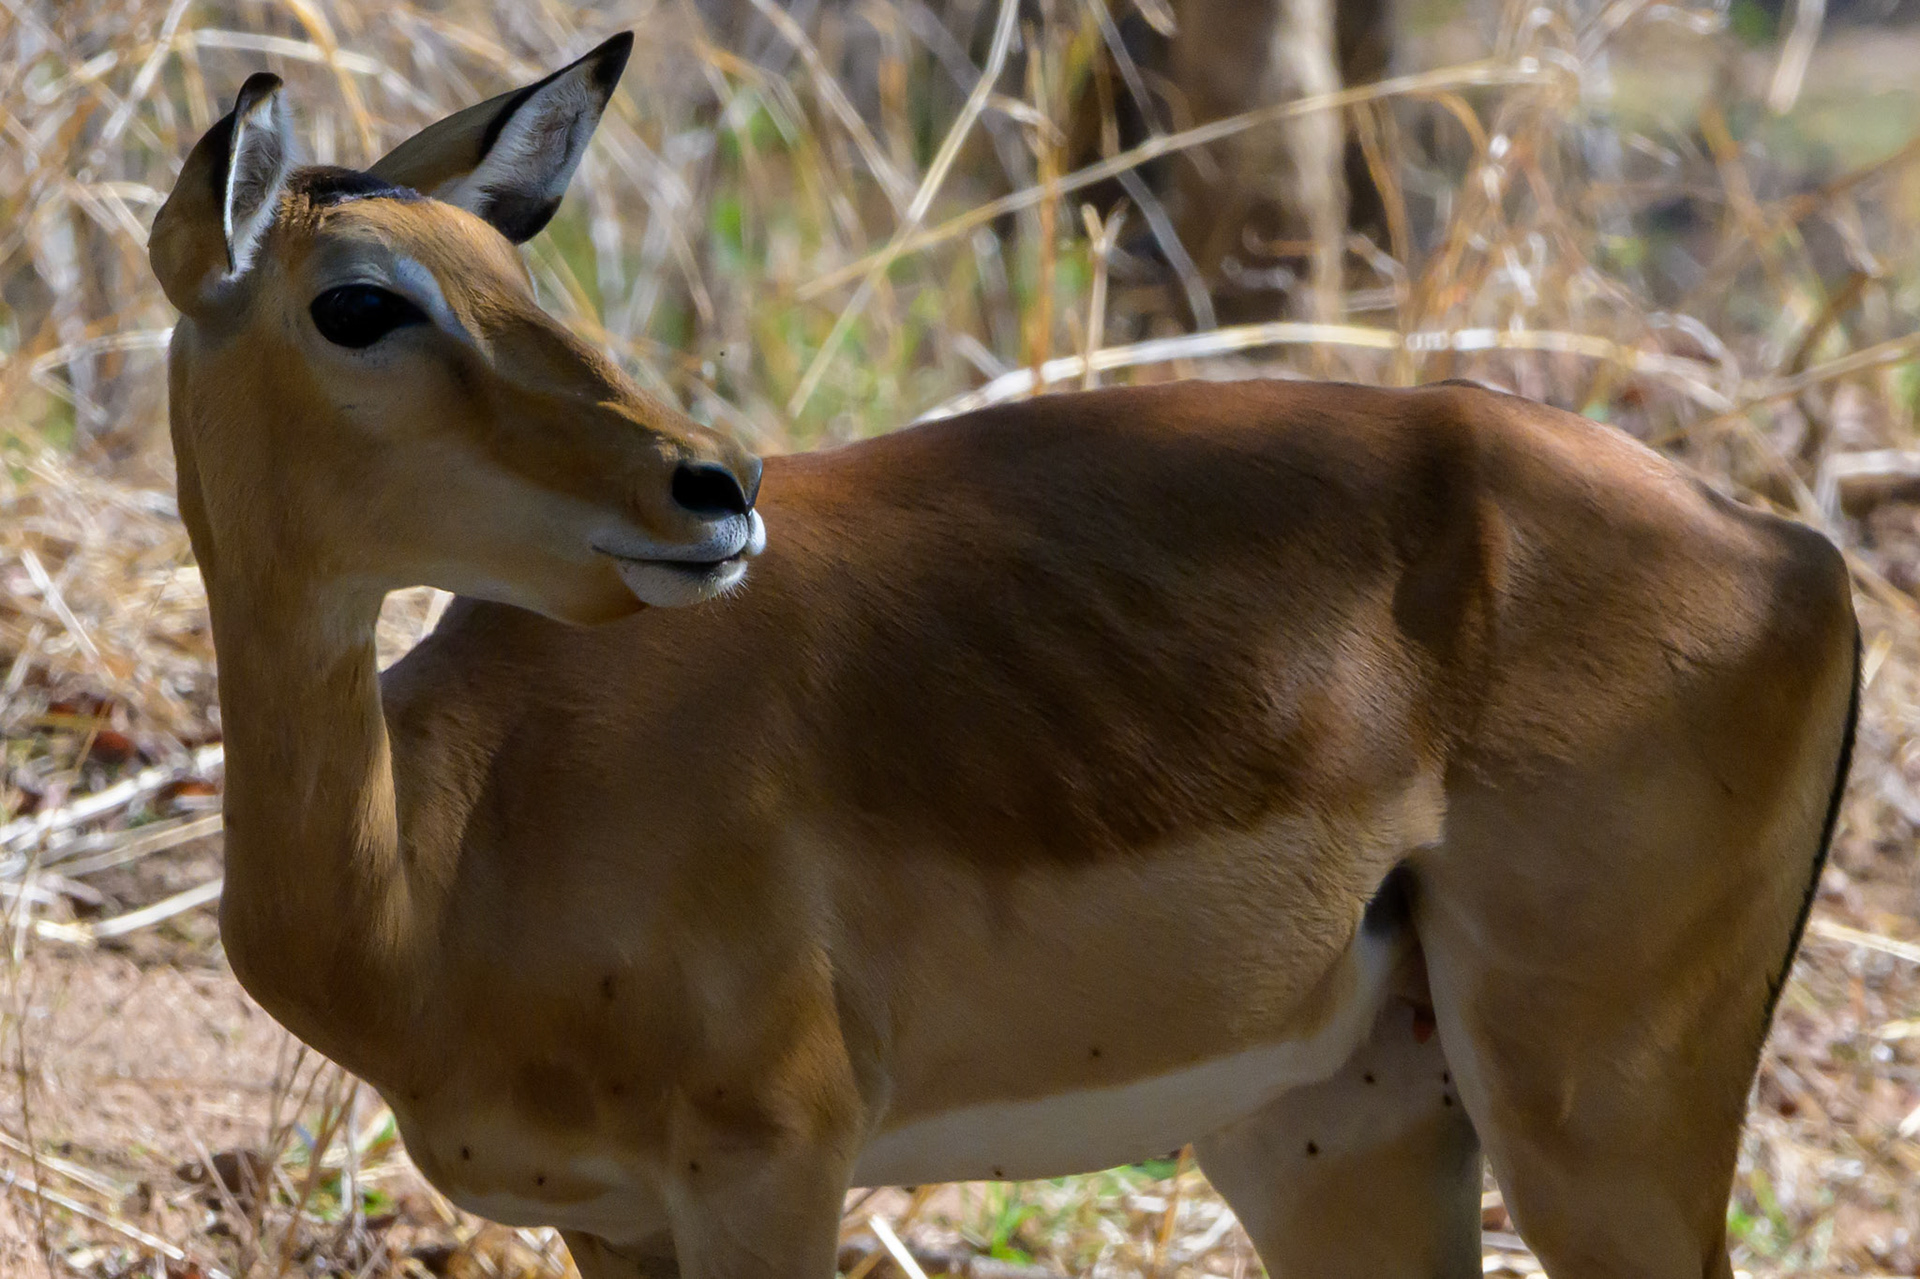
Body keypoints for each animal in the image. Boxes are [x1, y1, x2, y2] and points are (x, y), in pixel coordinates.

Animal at [148, 34, 1859, 1279]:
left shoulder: (774, 1162)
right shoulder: (608, 1216)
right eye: (361, 301)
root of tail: (1797, 555)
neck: (437, 876)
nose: (715, 484)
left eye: (508, 279)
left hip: (1601, 1117)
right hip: (1339, 1133)